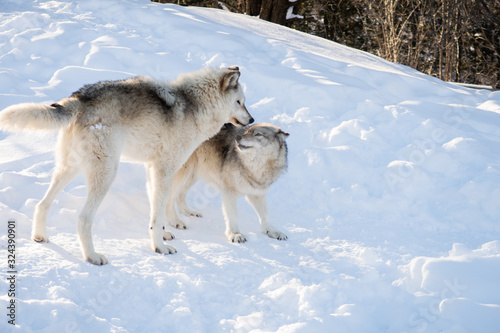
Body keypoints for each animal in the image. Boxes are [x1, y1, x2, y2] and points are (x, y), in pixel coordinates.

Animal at [0, 66, 252, 264]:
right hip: (107, 173)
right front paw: (160, 248)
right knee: (83, 218)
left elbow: (155, 211)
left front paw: (163, 235)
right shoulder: (165, 170)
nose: (252, 119)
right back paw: (92, 257)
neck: (196, 105)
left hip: (67, 170)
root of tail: (78, 98)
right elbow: (159, 211)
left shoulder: (152, 169)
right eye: (240, 102)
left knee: (42, 204)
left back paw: (40, 237)